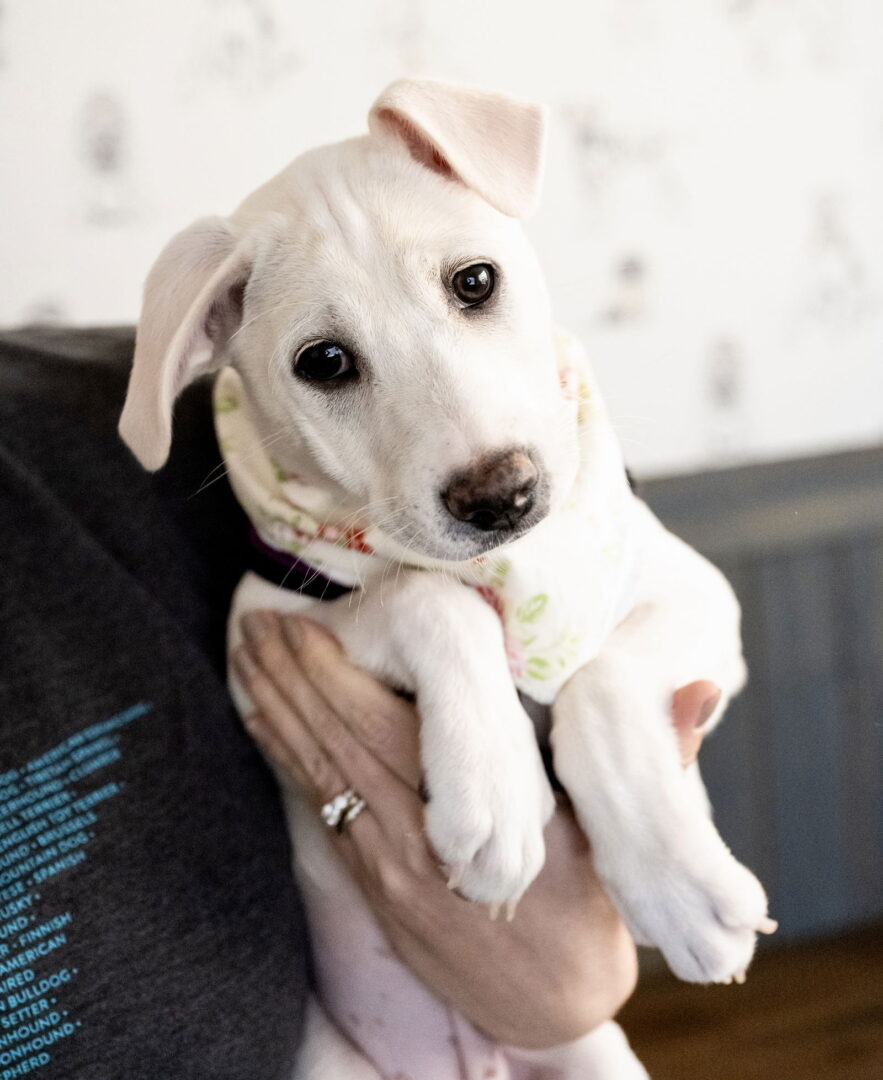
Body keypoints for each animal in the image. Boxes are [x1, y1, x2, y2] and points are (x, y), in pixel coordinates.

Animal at [118, 79, 773, 1079]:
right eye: (324, 362)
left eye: (474, 282)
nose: (502, 495)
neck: (515, 573)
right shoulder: (259, 631)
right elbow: (424, 592)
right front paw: (494, 786)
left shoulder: (698, 598)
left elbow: (602, 686)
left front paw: (677, 888)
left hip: (591, 1053)